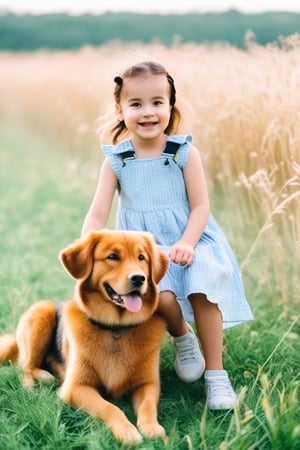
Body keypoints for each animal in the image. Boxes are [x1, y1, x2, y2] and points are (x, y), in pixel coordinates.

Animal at [0, 232, 169, 442]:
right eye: (113, 256)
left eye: (141, 258)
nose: (139, 278)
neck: (116, 329)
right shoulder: (76, 387)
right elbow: (110, 407)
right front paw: (127, 431)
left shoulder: (148, 384)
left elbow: (147, 406)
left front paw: (153, 428)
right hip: (43, 310)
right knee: (24, 368)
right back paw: (38, 381)